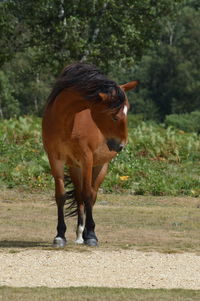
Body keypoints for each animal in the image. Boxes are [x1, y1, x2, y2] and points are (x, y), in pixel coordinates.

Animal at [42, 61, 139, 246]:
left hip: (100, 166)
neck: (67, 121)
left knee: (91, 195)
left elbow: (88, 195)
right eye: (114, 116)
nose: (120, 145)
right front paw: (60, 235)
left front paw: (92, 235)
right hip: (74, 167)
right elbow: (61, 196)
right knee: (79, 196)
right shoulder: (55, 159)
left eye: (128, 110)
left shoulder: (87, 159)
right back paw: (80, 234)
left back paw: (87, 233)